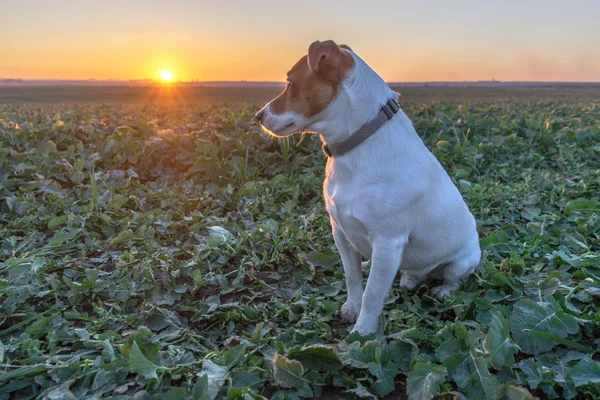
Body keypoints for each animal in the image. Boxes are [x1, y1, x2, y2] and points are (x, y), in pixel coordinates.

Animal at [255, 39, 480, 334]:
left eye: (291, 83)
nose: (258, 115)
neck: (357, 144)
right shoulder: (340, 232)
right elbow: (352, 279)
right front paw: (352, 308)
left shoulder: (387, 244)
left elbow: (373, 294)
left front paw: (362, 333)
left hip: (461, 262)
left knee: (455, 278)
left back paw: (442, 289)